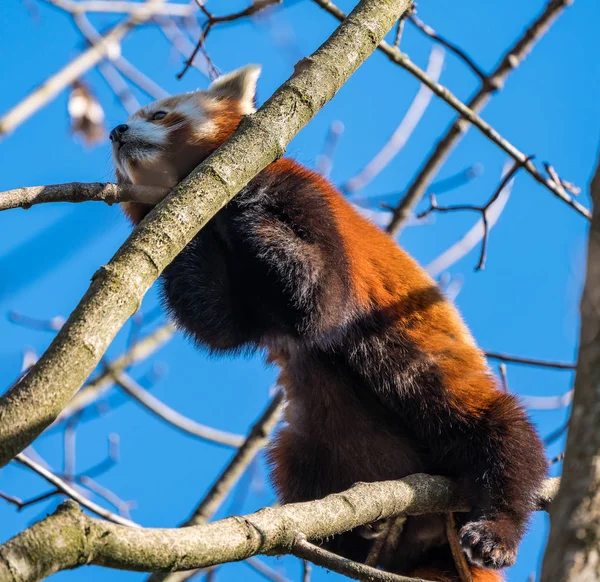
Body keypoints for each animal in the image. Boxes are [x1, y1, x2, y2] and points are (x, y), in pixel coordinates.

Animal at [110, 66, 548, 580]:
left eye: (159, 115)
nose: (117, 131)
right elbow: (219, 324)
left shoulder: (304, 199)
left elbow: (321, 300)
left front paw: (246, 203)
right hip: (318, 444)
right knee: (294, 464)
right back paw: (359, 535)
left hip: (432, 383)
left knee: (500, 433)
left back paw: (496, 529)